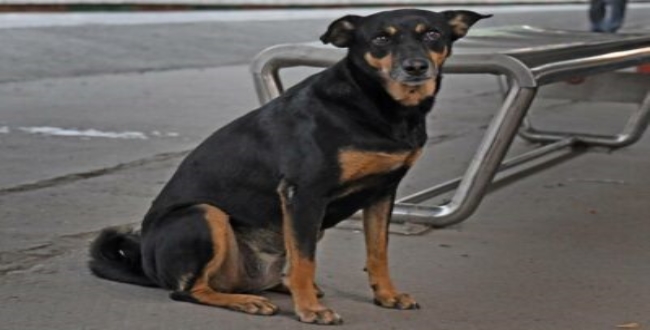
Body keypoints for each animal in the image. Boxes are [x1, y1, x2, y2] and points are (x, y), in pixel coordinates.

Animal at [90, 9, 486, 324]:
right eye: (380, 39)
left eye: (432, 33)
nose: (416, 67)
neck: (378, 105)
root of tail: (149, 267)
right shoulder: (304, 194)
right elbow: (305, 261)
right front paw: (309, 311)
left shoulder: (382, 193)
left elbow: (378, 252)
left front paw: (386, 295)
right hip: (203, 214)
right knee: (188, 290)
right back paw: (247, 301)